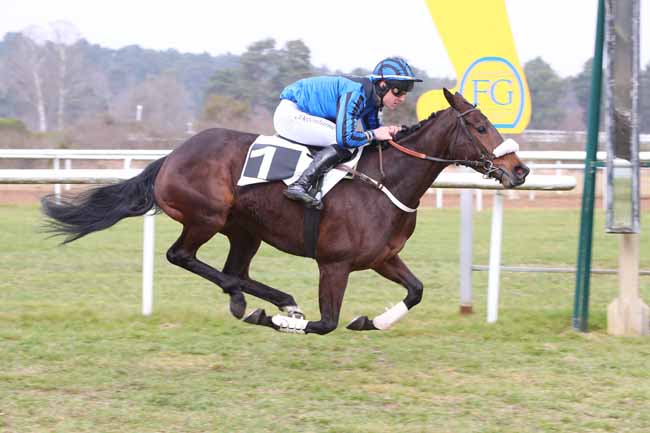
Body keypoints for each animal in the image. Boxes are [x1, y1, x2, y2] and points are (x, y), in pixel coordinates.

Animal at [39, 88, 528, 334]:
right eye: (479, 125)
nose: (520, 170)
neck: (385, 183)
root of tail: (172, 156)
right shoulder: (335, 264)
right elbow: (326, 323)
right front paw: (275, 319)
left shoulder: (383, 258)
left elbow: (416, 291)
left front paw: (371, 321)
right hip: (206, 216)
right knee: (184, 257)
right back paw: (251, 303)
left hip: (245, 231)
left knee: (234, 269)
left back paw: (272, 300)